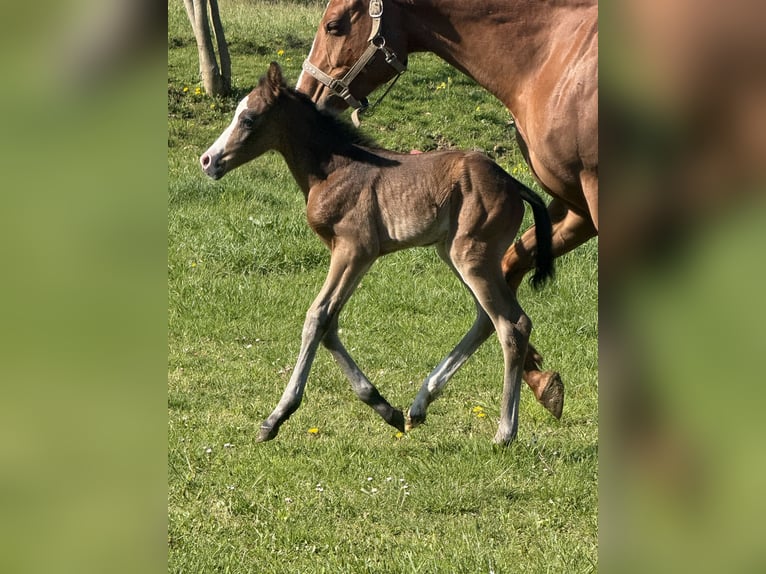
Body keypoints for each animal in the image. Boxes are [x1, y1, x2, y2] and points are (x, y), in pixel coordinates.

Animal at [199, 62, 555, 445]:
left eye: (249, 118)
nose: (208, 160)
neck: (335, 169)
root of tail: (512, 182)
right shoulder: (352, 255)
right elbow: (331, 323)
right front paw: (385, 408)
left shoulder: (354, 250)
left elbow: (317, 317)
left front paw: (276, 417)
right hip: (455, 254)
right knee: (487, 318)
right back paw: (419, 405)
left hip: (472, 257)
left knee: (512, 325)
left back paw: (504, 431)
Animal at [297, 0, 599, 420]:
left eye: (334, 25)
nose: (305, 93)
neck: (548, 60)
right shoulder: (574, 207)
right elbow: (509, 271)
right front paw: (542, 382)